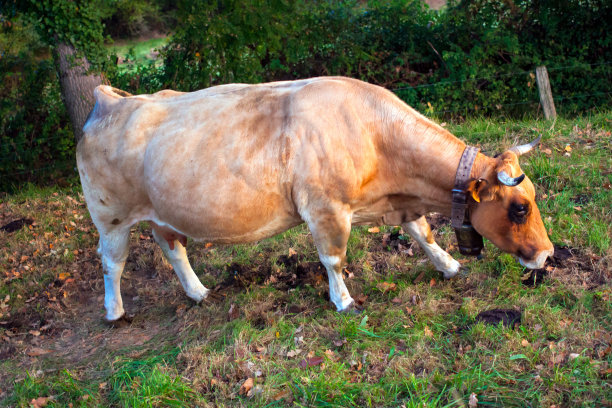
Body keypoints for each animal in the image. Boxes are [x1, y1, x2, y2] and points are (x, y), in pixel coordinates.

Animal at [77, 75, 556, 320]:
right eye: (519, 208)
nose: (548, 255)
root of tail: (110, 100)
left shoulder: (399, 201)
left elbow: (422, 233)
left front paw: (449, 265)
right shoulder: (326, 209)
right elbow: (333, 259)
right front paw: (342, 300)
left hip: (161, 213)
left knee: (172, 247)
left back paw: (198, 292)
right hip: (111, 217)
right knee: (112, 262)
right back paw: (114, 311)